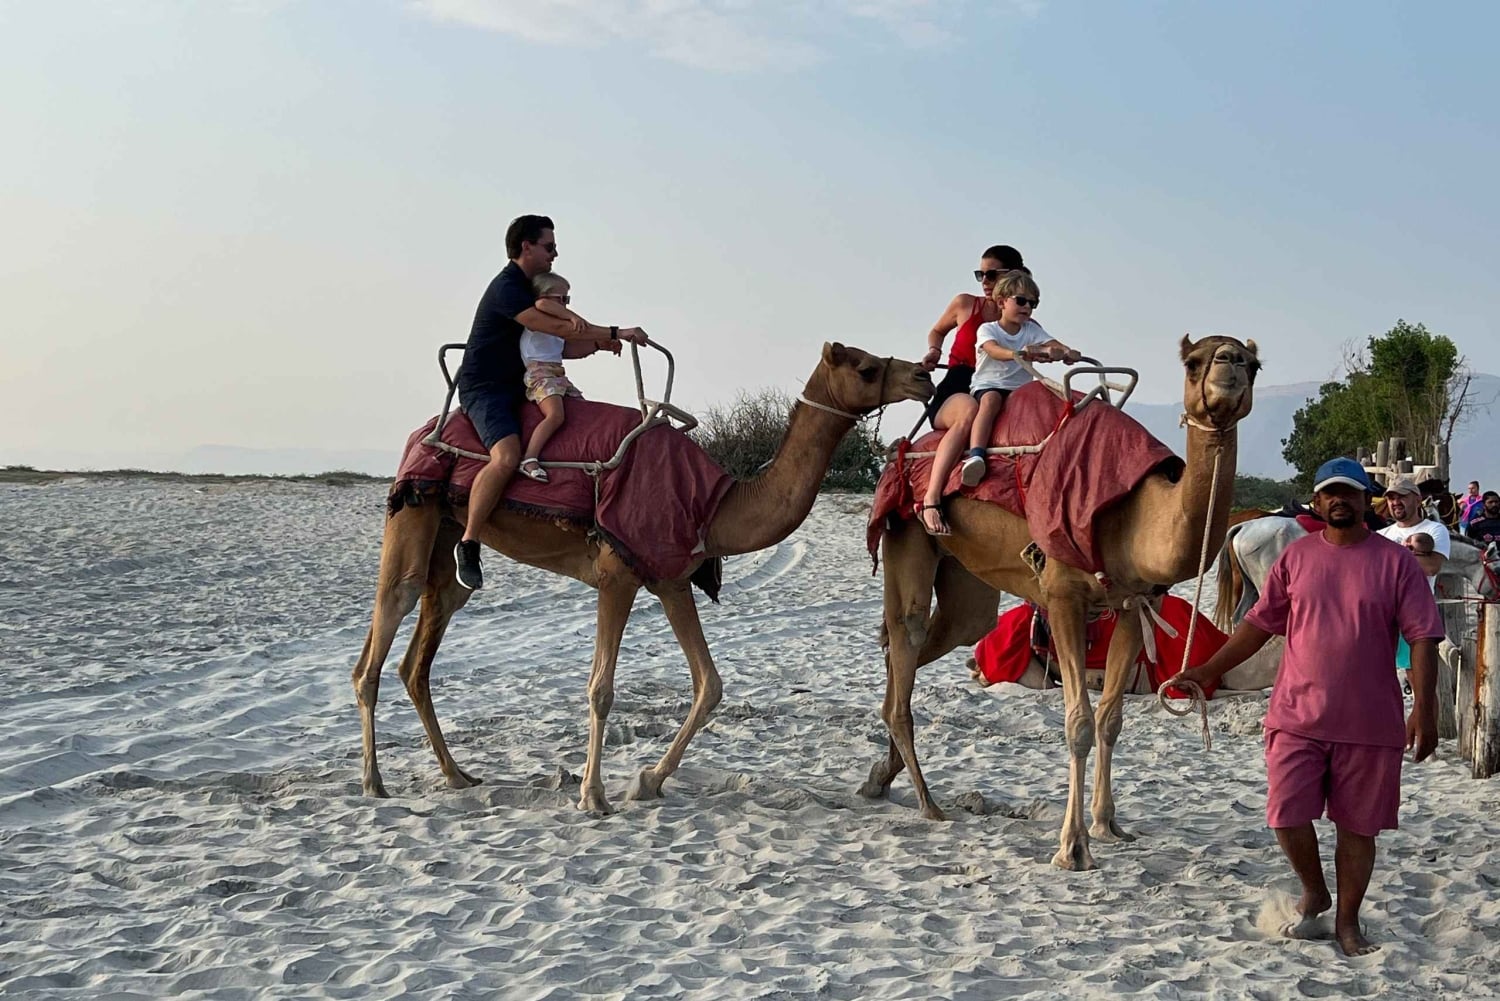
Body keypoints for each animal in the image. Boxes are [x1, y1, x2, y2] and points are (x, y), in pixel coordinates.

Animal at [353, 343, 933, 813]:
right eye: (866, 367)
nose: (924, 375)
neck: (714, 504)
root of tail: (420, 432)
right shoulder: (617, 575)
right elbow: (601, 688)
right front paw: (593, 795)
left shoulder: (670, 579)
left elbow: (709, 684)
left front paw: (648, 781)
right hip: (413, 507)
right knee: (388, 622)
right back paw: (374, 782)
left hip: (448, 534)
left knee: (427, 636)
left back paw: (457, 775)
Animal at [864, 335, 1258, 870]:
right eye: (1194, 361)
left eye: (1254, 364)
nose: (1230, 364)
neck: (1135, 516)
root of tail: (901, 453)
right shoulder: (1063, 596)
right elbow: (1079, 724)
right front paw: (1073, 847)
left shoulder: (1134, 605)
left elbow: (1111, 720)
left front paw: (1108, 825)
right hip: (906, 529)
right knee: (906, 631)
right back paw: (928, 802)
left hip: (966, 581)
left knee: (936, 637)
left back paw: (880, 777)